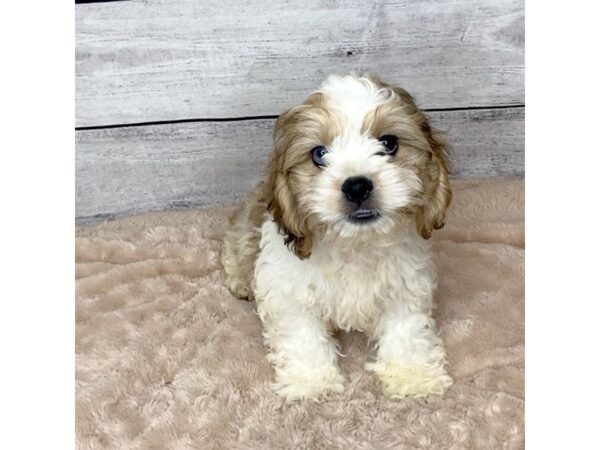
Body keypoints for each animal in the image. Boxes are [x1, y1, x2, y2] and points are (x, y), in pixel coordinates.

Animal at [223, 73, 452, 400]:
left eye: (389, 143)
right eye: (319, 154)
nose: (357, 186)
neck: (354, 244)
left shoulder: (405, 286)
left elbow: (405, 330)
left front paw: (413, 375)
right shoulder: (289, 290)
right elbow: (303, 334)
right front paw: (310, 379)